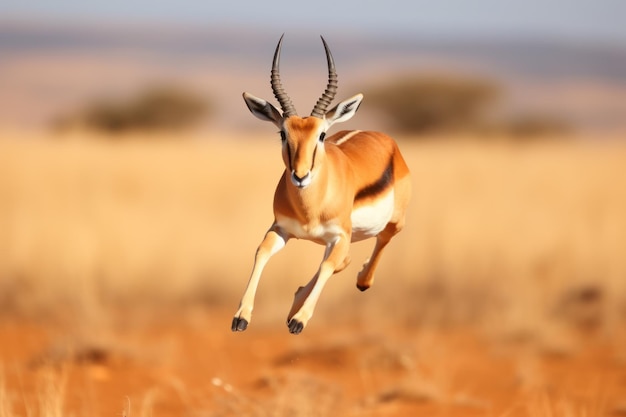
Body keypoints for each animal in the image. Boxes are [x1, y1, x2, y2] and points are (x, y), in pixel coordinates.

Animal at [230, 35, 410, 334]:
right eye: (283, 133)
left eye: (322, 135)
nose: (300, 175)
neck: (310, 210)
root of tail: (385, 140)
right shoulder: (281, 228)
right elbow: (262, 251)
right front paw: (241, 316)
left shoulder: (340, 235)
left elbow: (327, 267)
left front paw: (300, 320)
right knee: (341, 260)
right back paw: (294, 305)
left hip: (390, 223)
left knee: (377, 243)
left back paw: (358, 282)